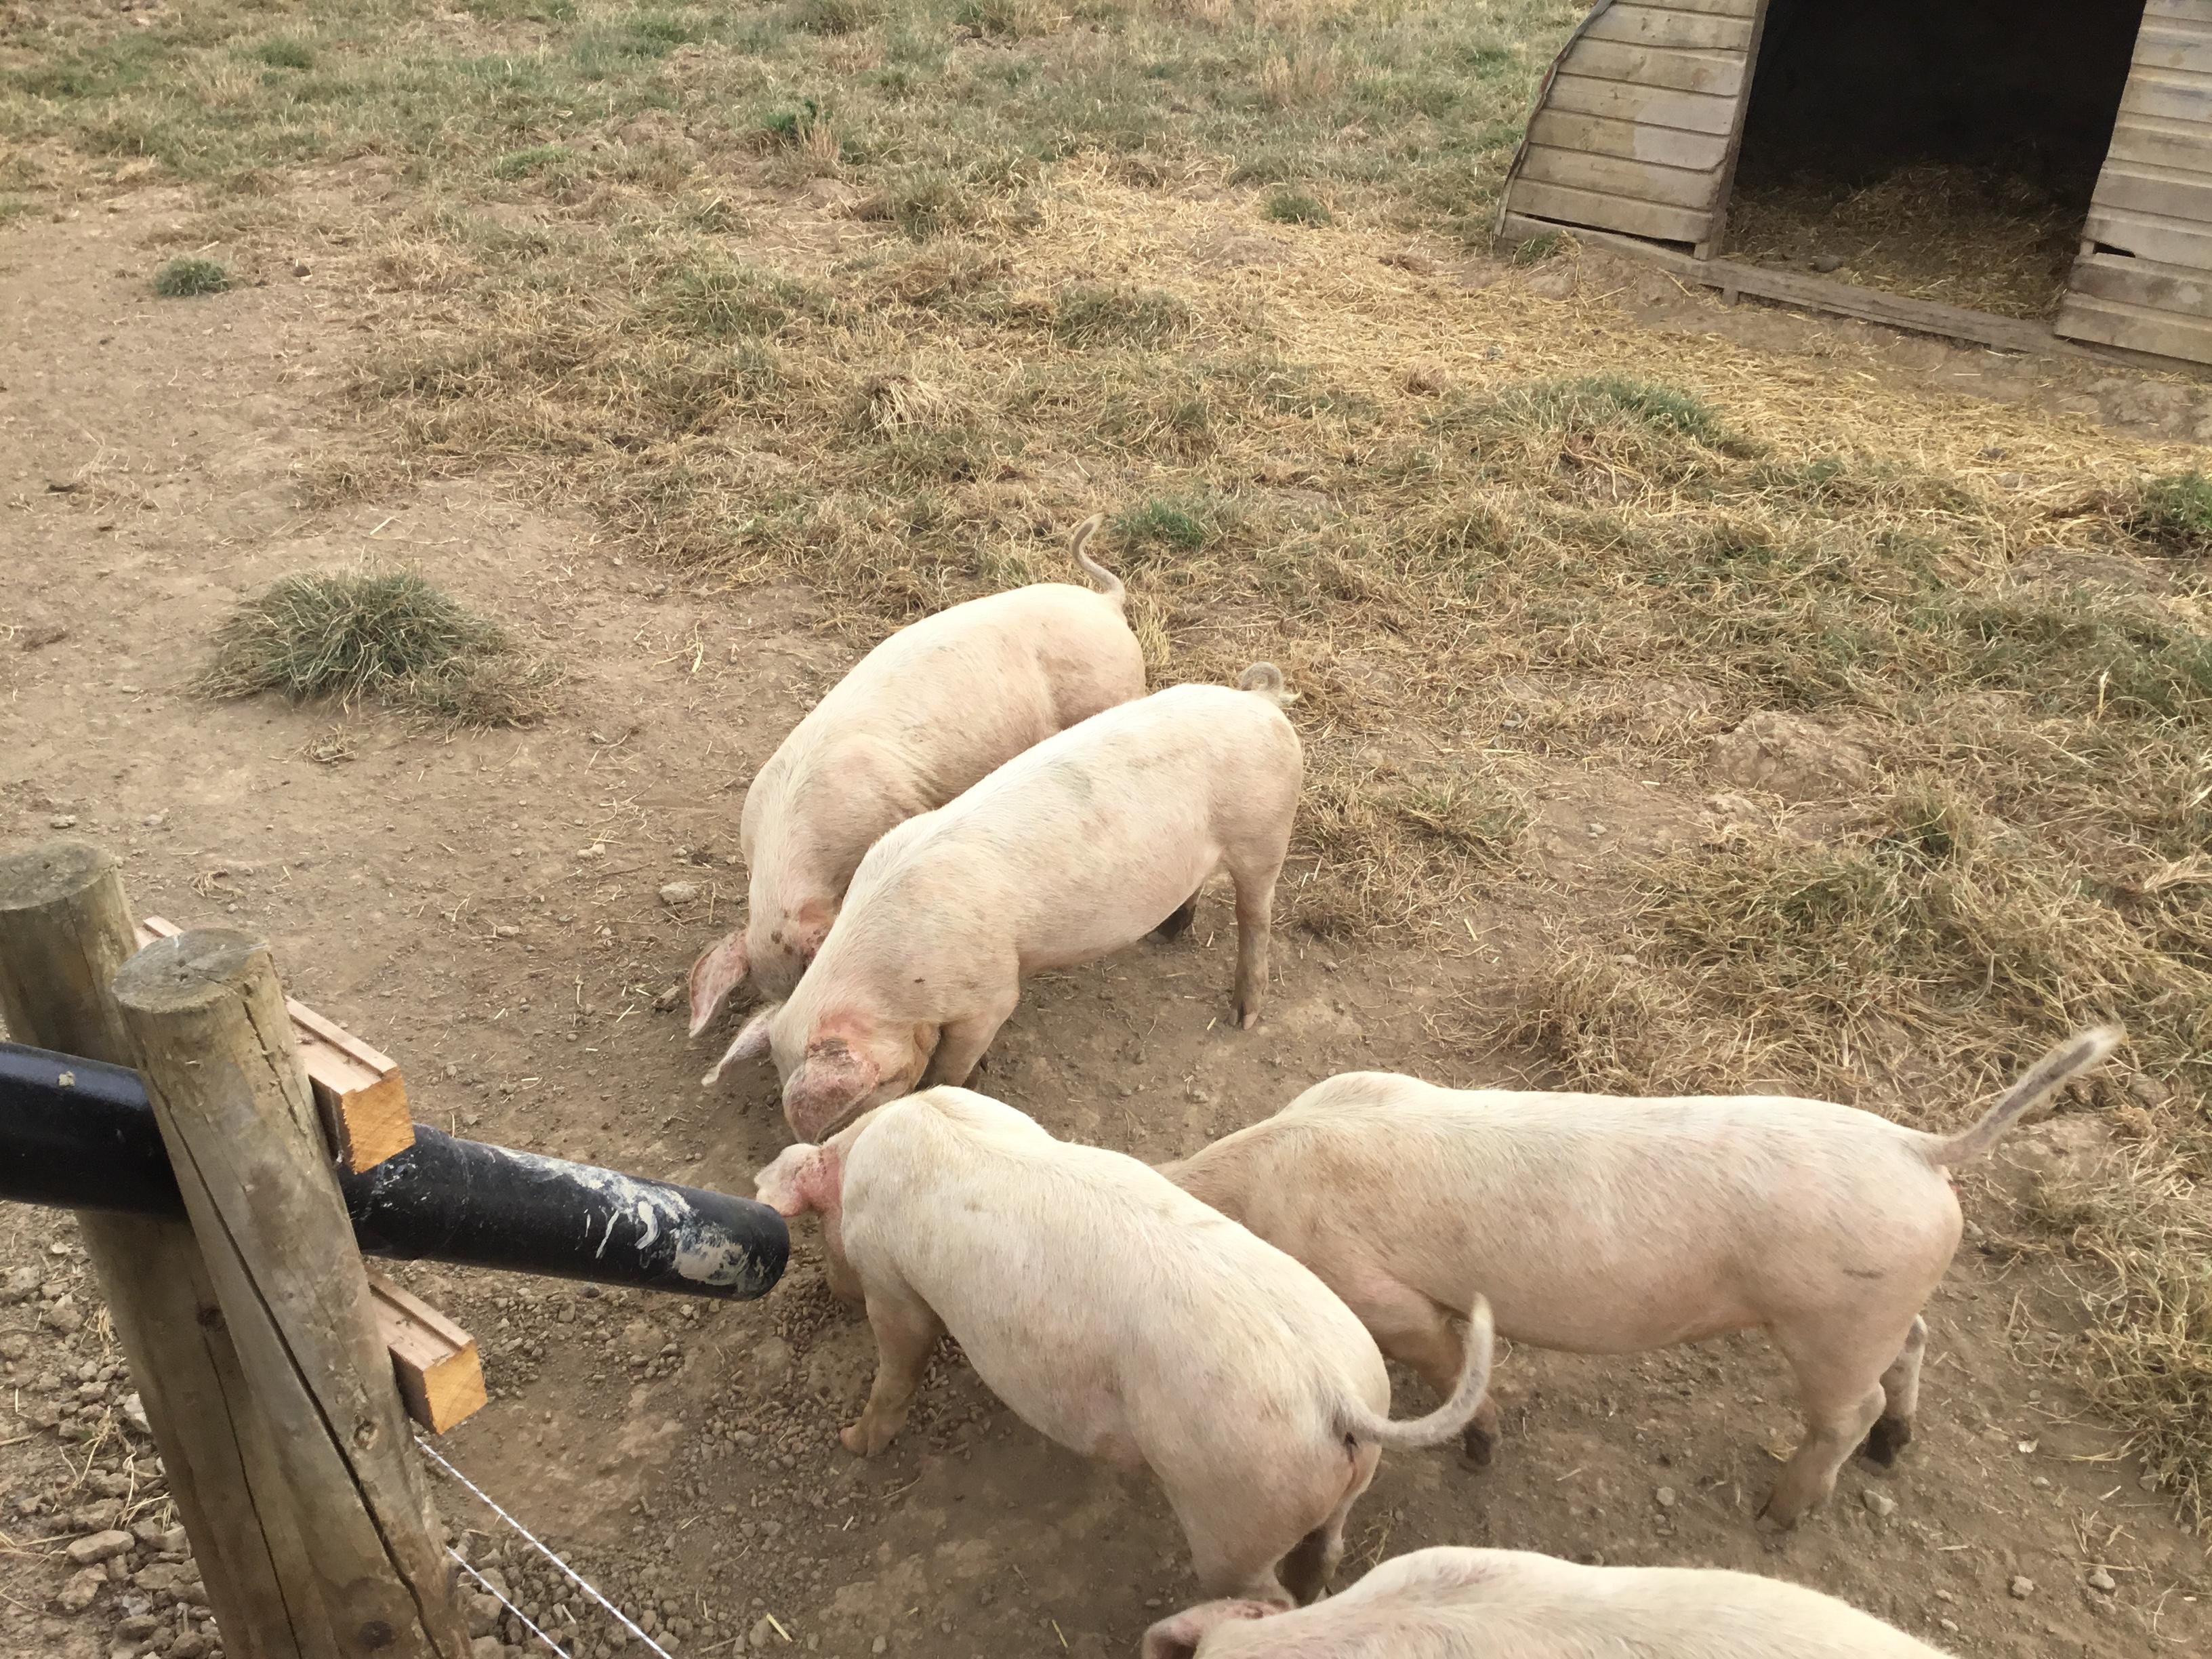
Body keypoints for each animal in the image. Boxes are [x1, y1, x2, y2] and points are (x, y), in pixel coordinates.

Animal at [708, 664, 1303, 1141]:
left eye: (862, 1101)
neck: (892, 981)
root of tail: (1261, 701)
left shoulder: (992, 994)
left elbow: (954, 1061)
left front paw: (962, 1082)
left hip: (1264, 833)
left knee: (1256, 917)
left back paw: (1243, 1016)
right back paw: (1169, 932)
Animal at [753, 1087, 1493, 1608]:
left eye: (818, 1228)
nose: (829, 1285)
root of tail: (1335, 1394)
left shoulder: (889, 1276)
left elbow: (899, 1359)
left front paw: (853, 1442)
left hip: (1233, 1505)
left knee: (1262, 1593)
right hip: (1339, 1473)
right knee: (1327, 1552)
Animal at [1162, 1027, 2118, 1529]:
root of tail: (1921, 1148)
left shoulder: (1375, 1290)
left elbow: (1442, 1357)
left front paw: (1481, 1452)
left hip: (1833, 1321)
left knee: (1852, 1409)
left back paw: (1779, 1516)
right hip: (1880, 1302)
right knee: (1916, 1346)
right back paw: (1893, 1452)